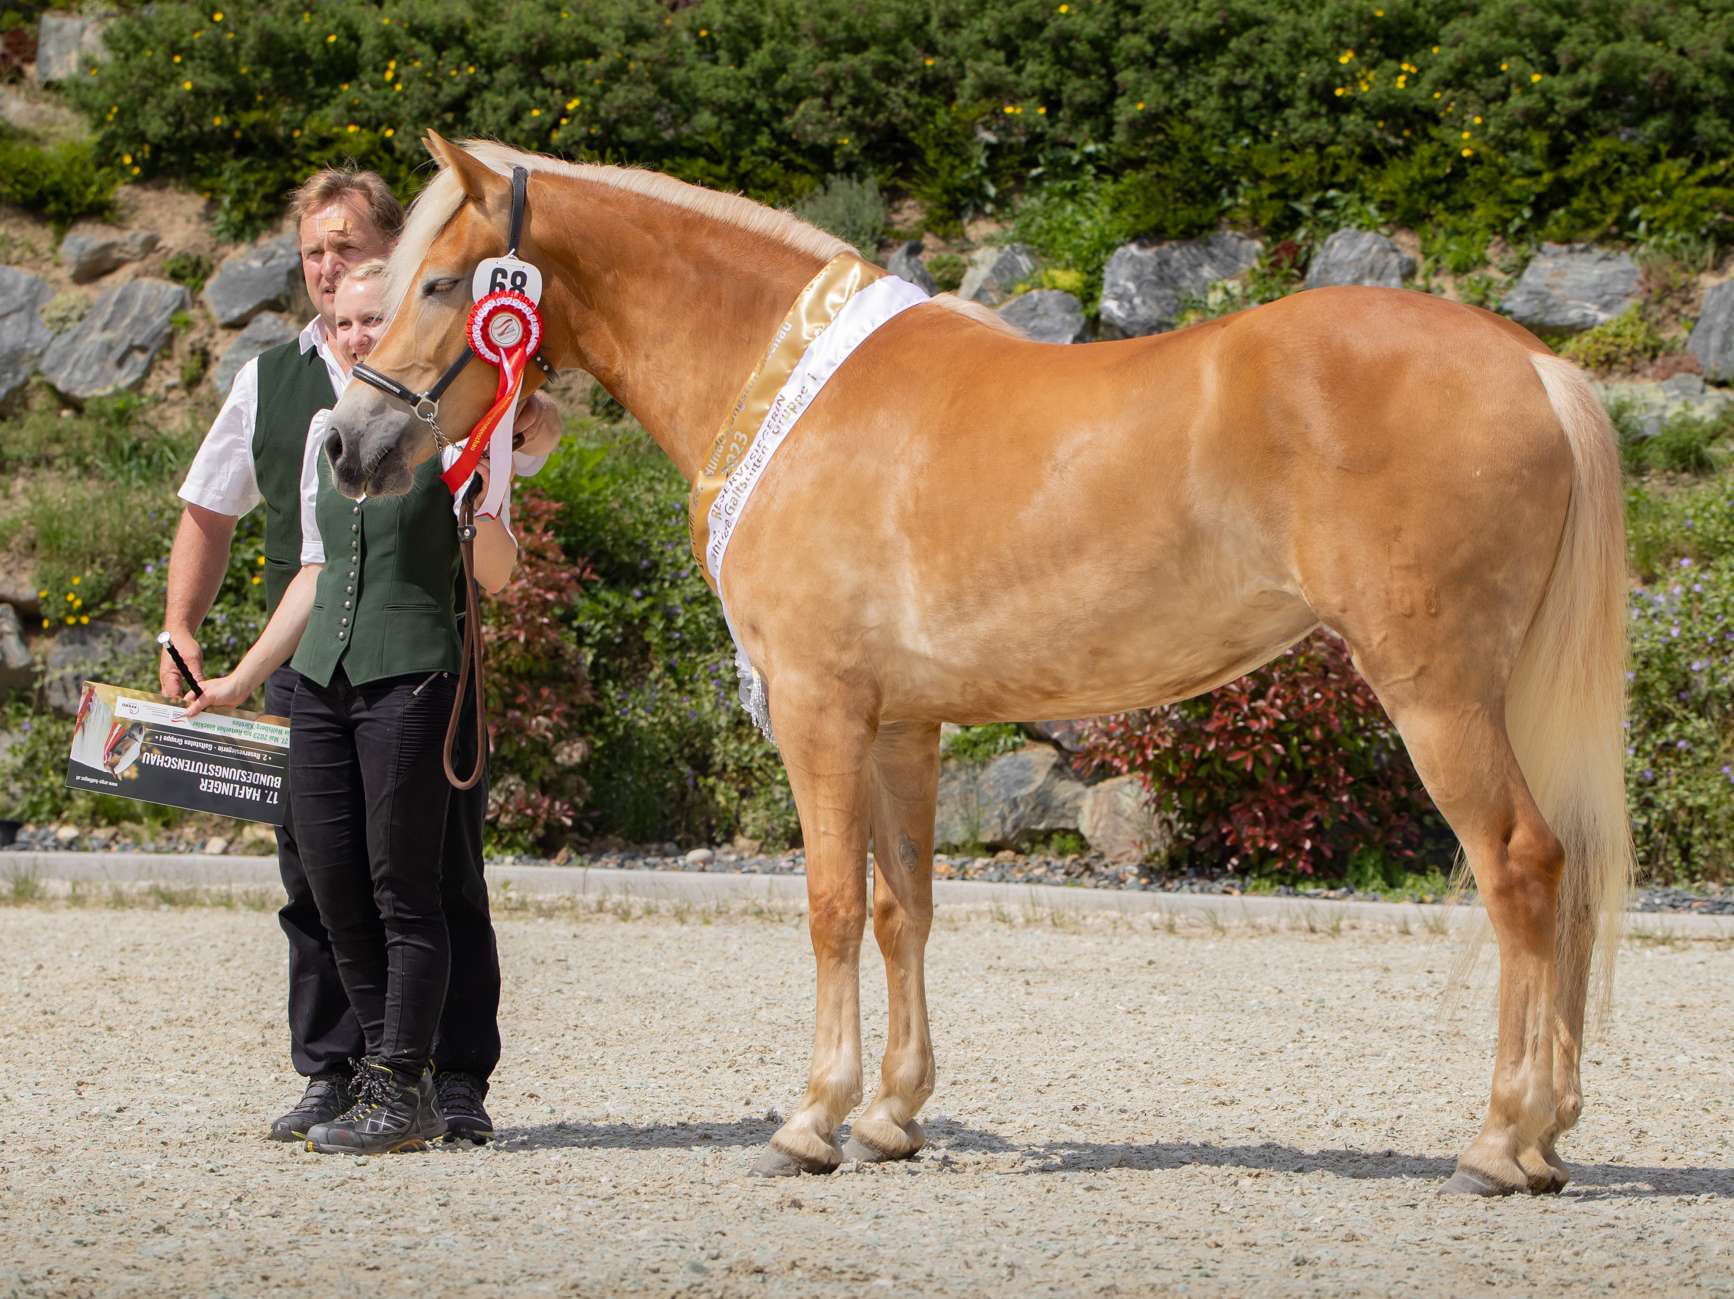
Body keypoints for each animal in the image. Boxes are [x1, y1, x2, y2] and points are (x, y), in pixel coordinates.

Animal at [322, 134, 1623, 1193]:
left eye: (441, 282)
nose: (347, 446)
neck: (792, 391)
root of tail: (1535, 366)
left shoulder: (819, 711)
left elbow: (832, 907)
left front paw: (811, 1121)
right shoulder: (904, 724)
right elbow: (907, 908)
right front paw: (891, 1117)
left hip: (1437, 694)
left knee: (1521, 869)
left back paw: (1502, 1141)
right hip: (1502, 697)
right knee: (1566, 878)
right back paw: (1550, 1136)